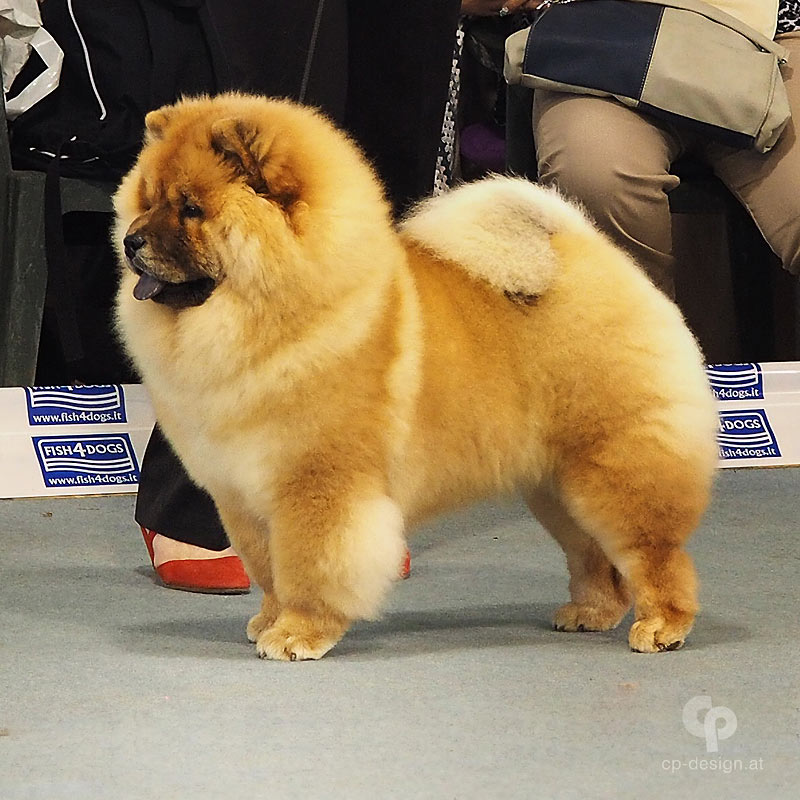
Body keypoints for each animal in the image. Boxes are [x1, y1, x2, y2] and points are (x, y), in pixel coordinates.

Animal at [113, 93, 718, 660]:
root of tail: (591, 254)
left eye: (191, 208)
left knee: (655, 552)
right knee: (592, 555)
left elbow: (310, 568)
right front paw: (267, 621)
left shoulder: (317, 485)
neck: (281, 312)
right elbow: (266, 569)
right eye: (146, 201)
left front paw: (297, 634)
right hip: (556, 485)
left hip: (611, 466)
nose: (130, 241)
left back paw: (662, 626)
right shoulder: (241, 493)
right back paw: (589, 613)